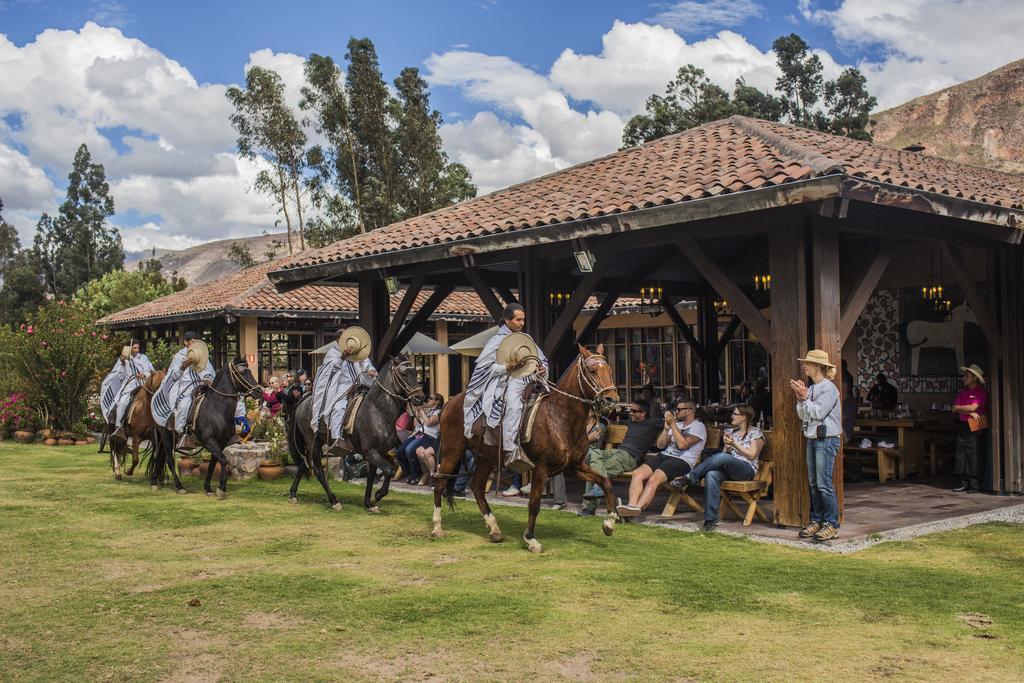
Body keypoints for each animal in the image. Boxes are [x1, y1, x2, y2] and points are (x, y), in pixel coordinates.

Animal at [147, 358, 260, 497]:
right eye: (242, 372)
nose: (259, 391)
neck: (216, 409)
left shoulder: (221, 443)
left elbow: (213, 464)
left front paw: (208, 488)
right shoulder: (209, 441)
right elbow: (223, 460)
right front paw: (221, 489)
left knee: (159, 457)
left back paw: (154, 482)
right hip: (166, 437)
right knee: (169, 459)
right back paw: (179, 486)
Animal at [290, 356, 425, 509]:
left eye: (415, 372)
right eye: (403, 374)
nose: (420, 397)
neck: (377, 411)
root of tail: (305, 399)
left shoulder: (378, 452)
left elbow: (372, 477)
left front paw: (369, 503)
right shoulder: (369, 452)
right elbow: (389, 470)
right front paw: (378, 495)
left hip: (315, 442)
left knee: (303, 464)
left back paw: (293, 494)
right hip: (312, 441)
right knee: (317, 469)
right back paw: (334, 501)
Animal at [430, 344, 618, 552]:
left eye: (609, 370)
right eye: (592, 371)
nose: (611, 400)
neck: (559, 417)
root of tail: (450, 402)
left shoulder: (574, 466)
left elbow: (605, 482)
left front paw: (609, 523)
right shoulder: (540, 469)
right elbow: (534, 504)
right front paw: (530, 539)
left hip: (485, 457)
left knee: (477, 487)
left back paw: (494, 529)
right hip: (452, 451)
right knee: (439, 484)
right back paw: (437, 528)